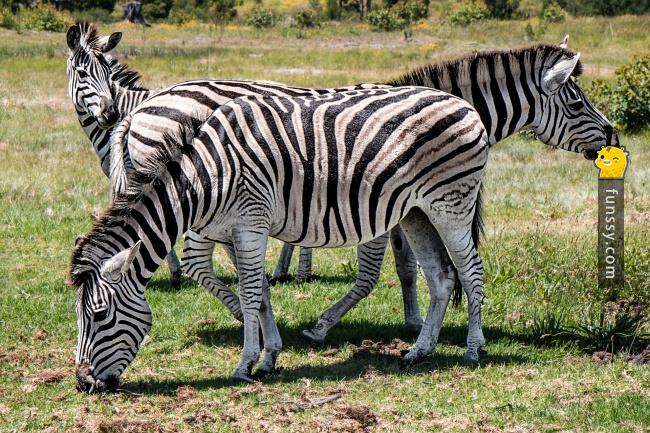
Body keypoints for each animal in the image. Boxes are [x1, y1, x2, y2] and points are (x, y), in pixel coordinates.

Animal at [71, 85, 492, 392]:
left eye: (99, 315)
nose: (83, 383)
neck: (207, 177)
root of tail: (464, 104)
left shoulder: (251, 225)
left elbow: (250, 295)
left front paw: (244, 365)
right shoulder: (237, 231)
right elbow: (260, 294)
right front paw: (269, 356)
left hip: (451, 205)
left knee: (471, 272)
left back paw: (473, 349)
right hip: (417, 212)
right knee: (441, 278)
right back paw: (419, 351)